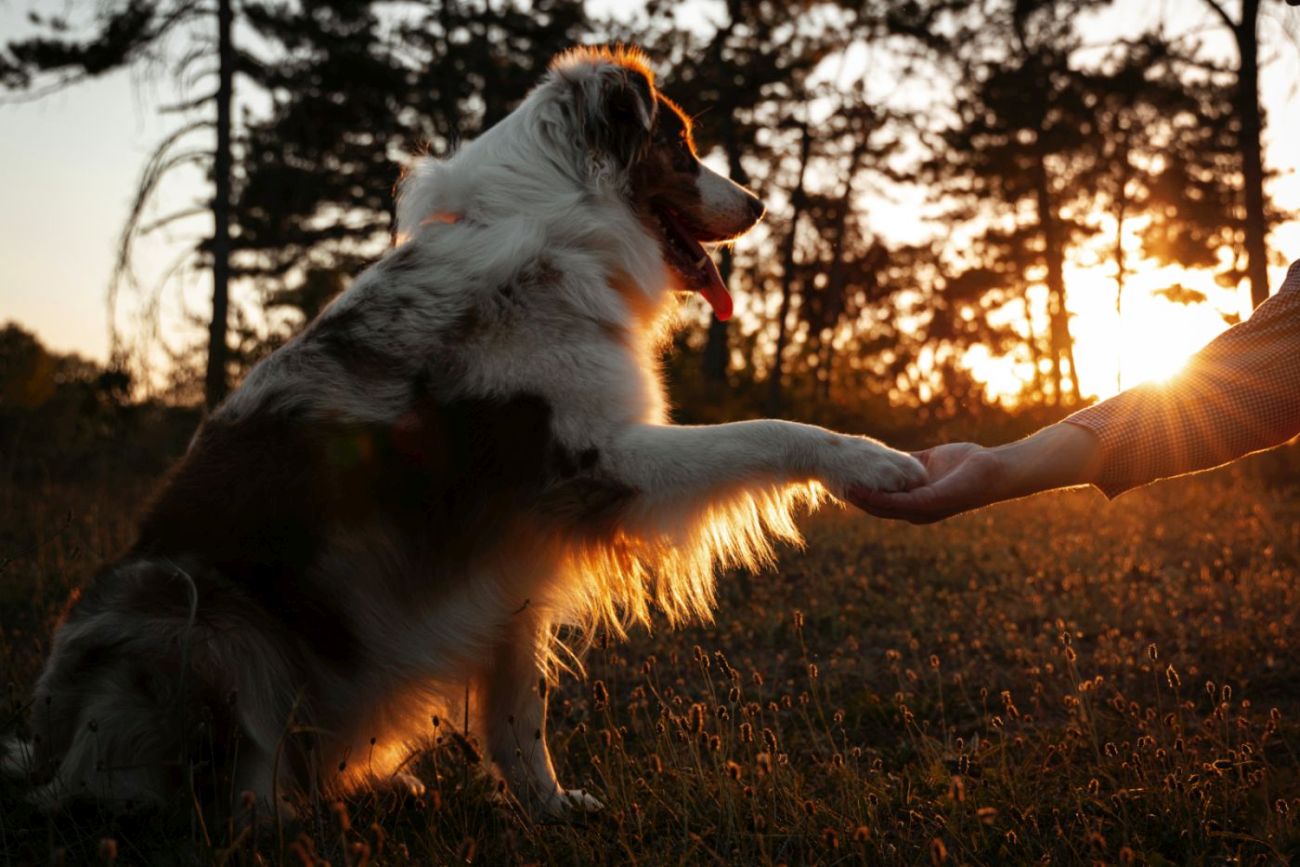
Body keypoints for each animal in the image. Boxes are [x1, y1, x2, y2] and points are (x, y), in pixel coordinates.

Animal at [5, 47, 930, 821]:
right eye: (681, 144)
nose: (760, 203)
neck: (567, 227)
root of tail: (46, 751)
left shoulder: (515, 553)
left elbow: (520, 708)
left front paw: (550, 810)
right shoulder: (602, 455)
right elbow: (766, 430)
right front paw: (875, 463)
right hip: (192, 611)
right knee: (186, 787)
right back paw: (279, 817)